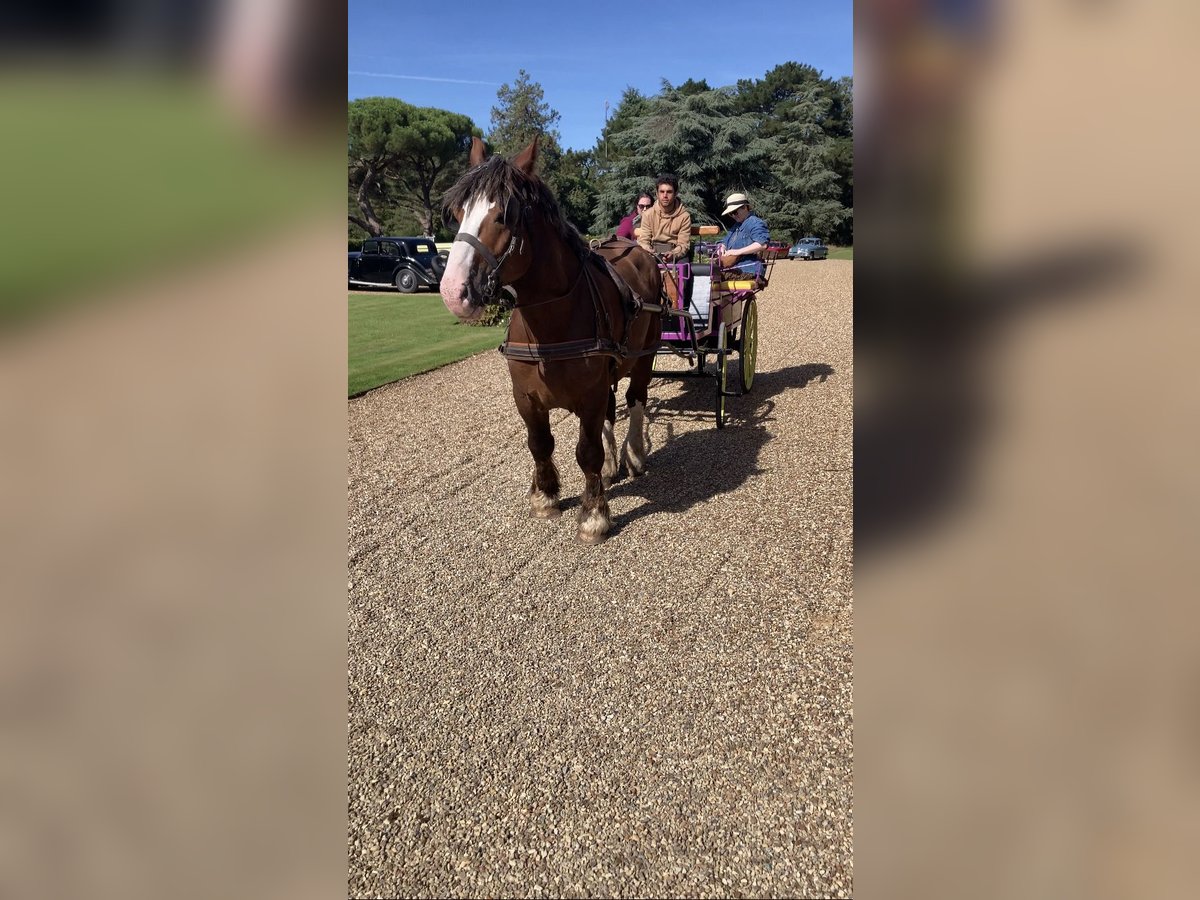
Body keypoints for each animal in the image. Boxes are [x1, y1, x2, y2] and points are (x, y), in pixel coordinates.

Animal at [441, 133, 667, 542]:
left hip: (645, 354)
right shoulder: (526, 396)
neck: (550, 324)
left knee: (637, 400)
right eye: (457, 212)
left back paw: (634, 454)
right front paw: (546, 496)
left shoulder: (590, 395)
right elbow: (540, 444)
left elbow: (587, 452)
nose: (454, 291)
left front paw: (593, 514)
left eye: (505, 214)